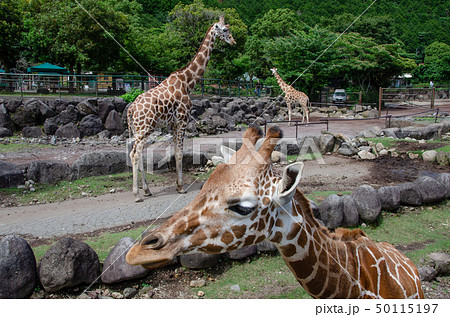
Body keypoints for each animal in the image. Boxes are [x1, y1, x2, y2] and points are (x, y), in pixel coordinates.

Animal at [126, 16, 236, 201]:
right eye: (225, 29)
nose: (234, 42)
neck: (187, 82)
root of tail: (131, 110)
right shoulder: (182, 119)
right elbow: (179, 153)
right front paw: (181, 187)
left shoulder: (173, 123)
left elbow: (176, 151)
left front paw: (178, 185)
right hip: (144, 128)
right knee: (135, 154)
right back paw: (136, 194)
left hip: (138, 129)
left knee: (138, 154)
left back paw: (147, 190)